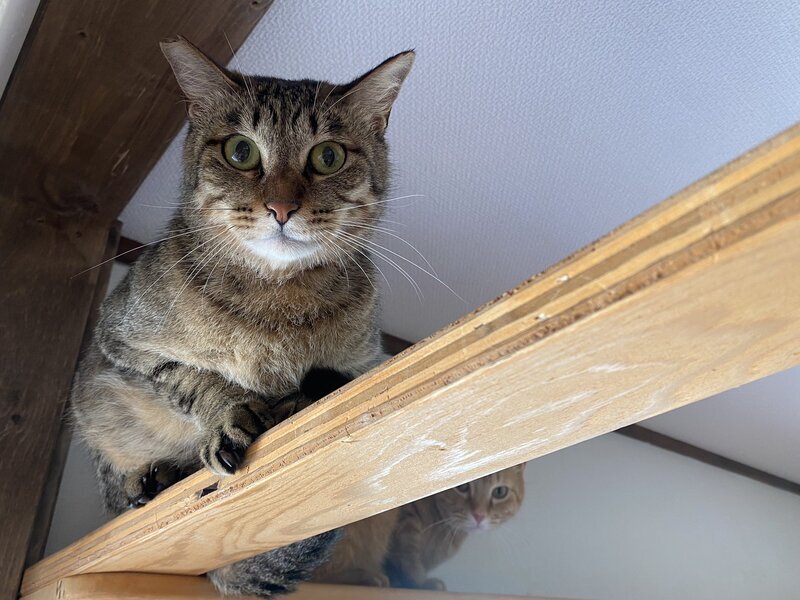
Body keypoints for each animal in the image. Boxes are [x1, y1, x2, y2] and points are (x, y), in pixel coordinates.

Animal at [69, 36, 414, 597]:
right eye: (240, 151)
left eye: (329, 156)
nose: (281, 207)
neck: (274, 303)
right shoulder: (122, 344)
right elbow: (191, 378)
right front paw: (230, 412)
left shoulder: (366, 364)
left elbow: (328, 381)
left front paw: (290, 401)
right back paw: (152, 479)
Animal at [312, 464, 526, 590]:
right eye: (462, 486)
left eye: (500, 492)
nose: (479, 515)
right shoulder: (405, 522)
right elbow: (408, 559)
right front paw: (419, 582)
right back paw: (365, 577)